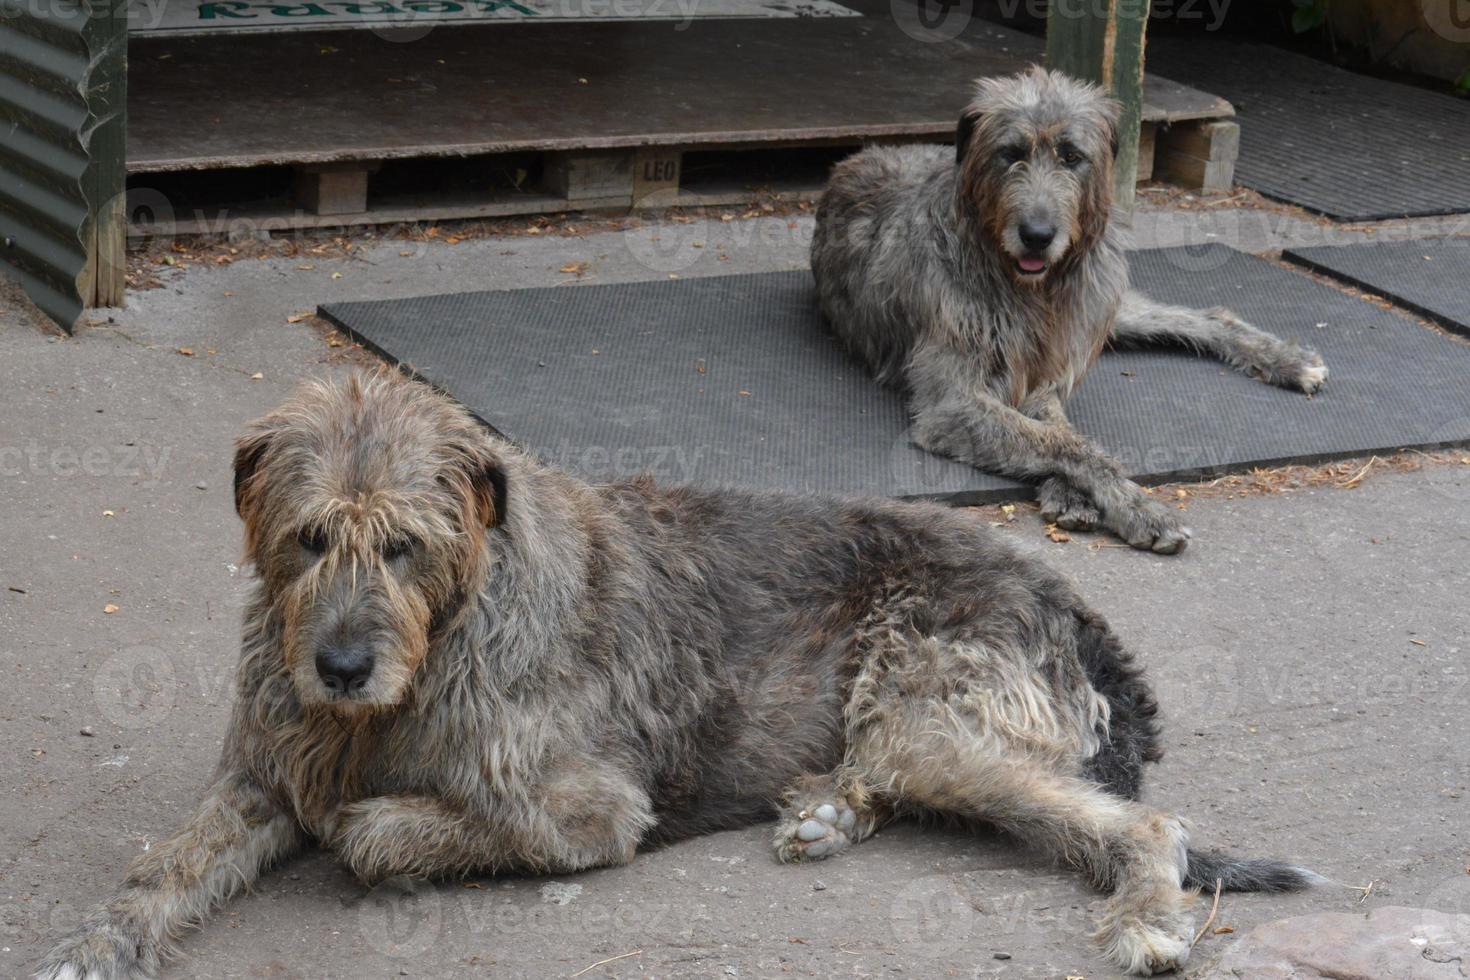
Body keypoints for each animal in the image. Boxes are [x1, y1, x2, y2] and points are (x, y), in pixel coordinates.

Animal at [40, 371, 1317, 975]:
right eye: (308, 537)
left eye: (401, 543)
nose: (339, 666)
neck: (433, 649)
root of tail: (1072, 602)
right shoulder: (262, 771)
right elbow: (161, 863)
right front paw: (98, 939)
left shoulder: (590, 807)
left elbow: (372, 830)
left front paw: (379, 819)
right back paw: (824, 808)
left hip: (930, 710)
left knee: (1141, 823)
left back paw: (1145, 916)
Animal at [811, 67, 1328, 555]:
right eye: (1010, 153)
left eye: (1072, 156)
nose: (1038, 235)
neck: (1024, 286)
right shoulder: (953, 402)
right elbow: (1057, 440)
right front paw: (1127, 503)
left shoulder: (1047, 365)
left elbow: (1061, 430)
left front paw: (1089, 493)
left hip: (1098, 299)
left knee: (1207, 316)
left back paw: (1289, 361)